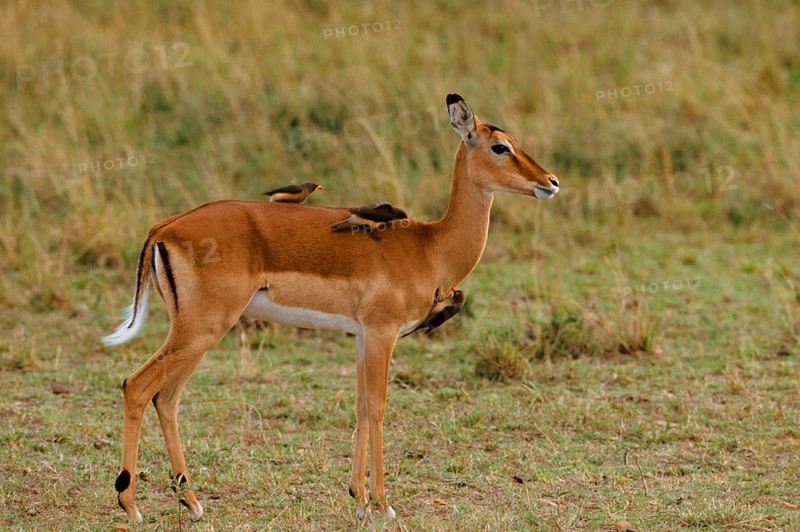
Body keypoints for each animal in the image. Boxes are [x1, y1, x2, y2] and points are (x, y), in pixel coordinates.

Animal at [103, 94, 560, 523]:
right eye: (500, 146)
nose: (551, 182)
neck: (430, 246)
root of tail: (165, 227)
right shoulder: (382, 333)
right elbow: (378, 407)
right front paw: (383, 505)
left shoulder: (361, 336)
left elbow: (360, 407)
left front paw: (358, 501)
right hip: (202, 330)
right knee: (137, 386)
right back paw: (131, 505)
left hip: (196, 336)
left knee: (167, 398)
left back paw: (194, 504)